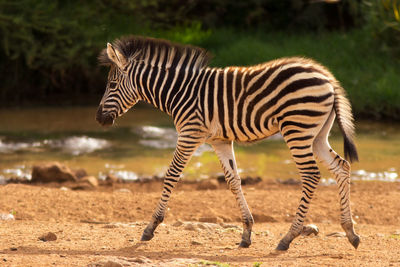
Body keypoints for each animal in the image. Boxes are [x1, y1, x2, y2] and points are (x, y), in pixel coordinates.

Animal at [96, 36, 360, 251]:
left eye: (112, 85)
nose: (98, 119)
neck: (180, 91)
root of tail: (327, 77)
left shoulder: (190, 133)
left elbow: (171, 175)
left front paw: (150, 227)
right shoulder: (219, 141)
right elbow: (233, 181)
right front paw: (246, 232)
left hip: (297, 128)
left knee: (311, 175)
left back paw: (288, 238)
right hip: (317, 134)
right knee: (341, 167)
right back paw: (350, 232)